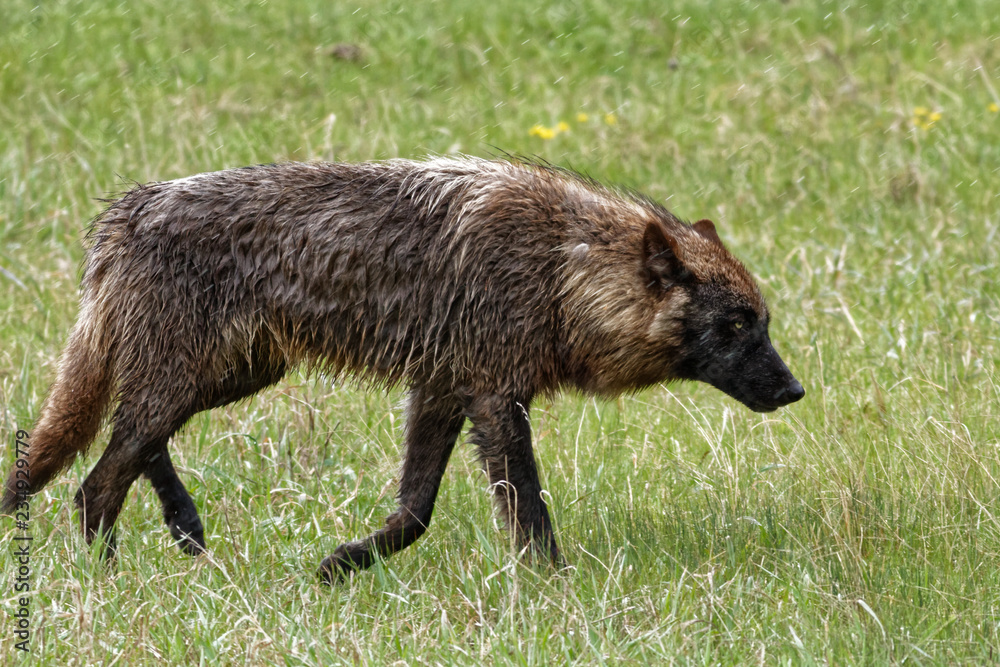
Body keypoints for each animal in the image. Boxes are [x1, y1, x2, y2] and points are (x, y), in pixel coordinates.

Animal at [2, 157, 803, 582]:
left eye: (761, 323)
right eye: (737, 326)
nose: (796, 390)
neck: (561, 270)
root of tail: (127, 211)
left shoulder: (444, 393)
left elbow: (413, 515)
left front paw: (339, 567)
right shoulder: (495, 399)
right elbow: (530, 516)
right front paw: (556, 593)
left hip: (228, 380)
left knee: (125, 447)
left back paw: (187, 534)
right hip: (193, 383)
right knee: (95, 481)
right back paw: (114, 580)